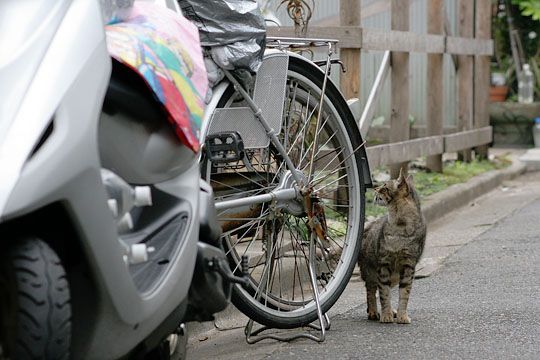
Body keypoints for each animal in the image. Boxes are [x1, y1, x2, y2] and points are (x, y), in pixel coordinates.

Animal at [358, 169, 426, 324]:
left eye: (384, 187)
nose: (375, 188)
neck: (399, 225)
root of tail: (369, 225)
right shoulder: (383, 264)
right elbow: (384, 293)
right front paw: (386, 315)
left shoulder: (408, 266)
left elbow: (404, 293)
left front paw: (401, 315)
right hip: (370, 271)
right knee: (371, 290)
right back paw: (373, 312)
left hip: (394, 276)